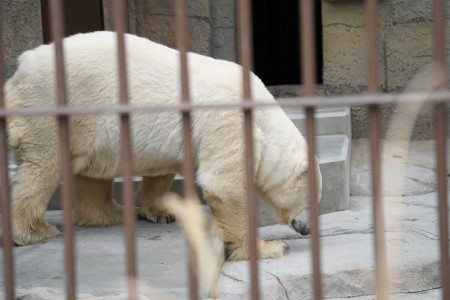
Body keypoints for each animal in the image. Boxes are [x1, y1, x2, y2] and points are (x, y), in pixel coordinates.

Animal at [4, 31, 320, 260]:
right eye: (312, 200)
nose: (307, 230)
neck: (261, 115)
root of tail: (20, 69)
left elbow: (161, 171)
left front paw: (161, 212)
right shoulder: (226, 121)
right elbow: (224, 185)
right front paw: (271, 248)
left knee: (91, 174)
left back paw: (115, 212)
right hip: (55, 106)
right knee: (43, 166)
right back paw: (34, 231)